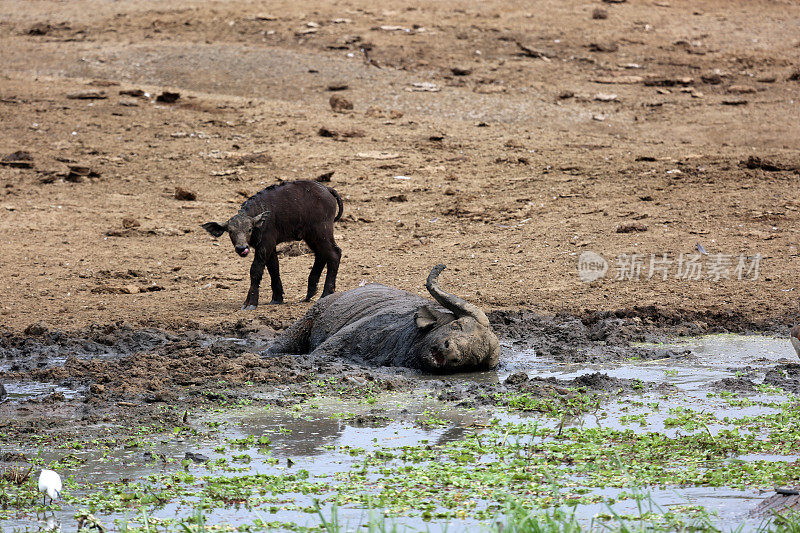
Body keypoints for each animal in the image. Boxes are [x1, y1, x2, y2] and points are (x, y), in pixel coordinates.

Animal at [202, 181, 342, 310]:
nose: (242, 248)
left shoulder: (265, 244)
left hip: (322, 232)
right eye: (230, 231)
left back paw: (326, 293)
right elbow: (274, 268)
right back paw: (310, 292)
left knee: (334, 253)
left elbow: (256, 269)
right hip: (311, 236)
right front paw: (277, 298)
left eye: (249, 229)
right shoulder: (270, 247)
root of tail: (326, 189)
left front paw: (250, 302)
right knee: (321, 255)